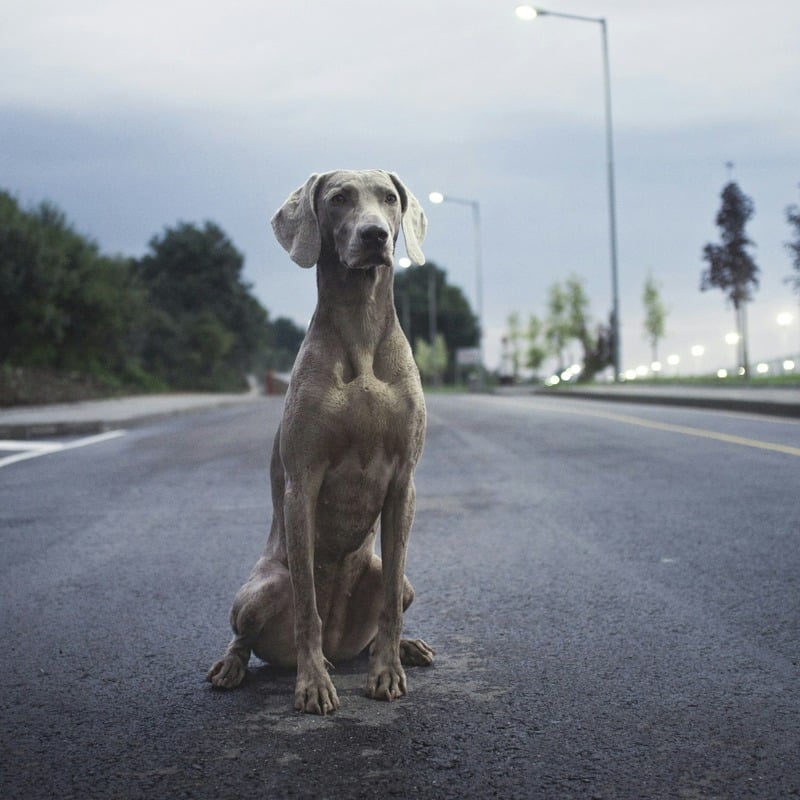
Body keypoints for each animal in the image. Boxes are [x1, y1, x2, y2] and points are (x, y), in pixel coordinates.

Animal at [206, 169, 432, 712]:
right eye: (339, 198)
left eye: (389, 199)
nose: (375, 236)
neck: (361, 331)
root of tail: (339, 645)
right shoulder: (301, 482)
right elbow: (308, 603)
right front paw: (311, 685)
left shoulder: (404, 483)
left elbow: (390, 604)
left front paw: (387, 672)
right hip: (260, 589)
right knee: (246, 634)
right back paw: (236, 666)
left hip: (393, 579)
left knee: (390, 600)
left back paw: (404, 648)